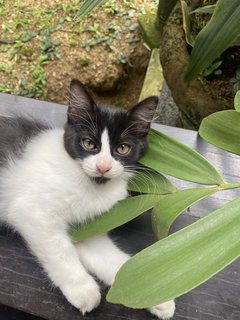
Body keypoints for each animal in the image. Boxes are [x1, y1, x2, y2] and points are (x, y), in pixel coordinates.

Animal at [0, 79, 175, 318]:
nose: (103, 166)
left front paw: (152, 292)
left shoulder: (88, 225)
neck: (91, 187)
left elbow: (110, 257)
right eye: (89, 144)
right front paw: (83, 290)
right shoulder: (31, 211)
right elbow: (60, 250)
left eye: (123, 148)